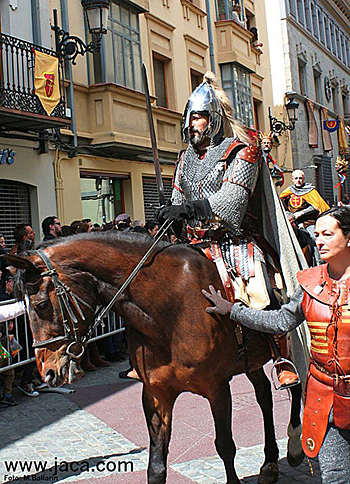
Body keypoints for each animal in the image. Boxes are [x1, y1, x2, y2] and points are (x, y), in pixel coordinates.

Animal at [4, 231, 304, 484]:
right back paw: (269, 463)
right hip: (251, 360)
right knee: (264, 396)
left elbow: (225, 446)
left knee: (296, 385)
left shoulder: (218, 388)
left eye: (42, 304)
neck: (168, 310)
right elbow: (157, 465)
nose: (47, 371)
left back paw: (294, 446)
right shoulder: (156, 393)